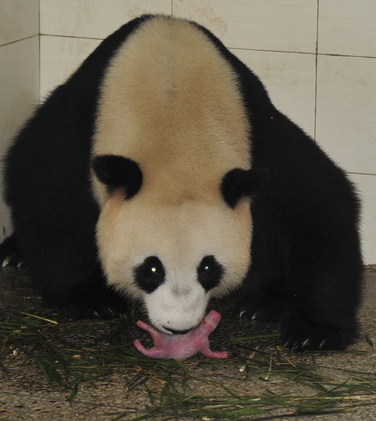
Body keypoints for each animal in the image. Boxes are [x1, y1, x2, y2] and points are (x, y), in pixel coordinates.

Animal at [1, 15, 362, 352]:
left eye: (208, 267)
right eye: (151, 269)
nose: (178, 327)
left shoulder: (259, 135)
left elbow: (319, 205)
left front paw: (314, 331)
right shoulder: (83, 130)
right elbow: (47, 194)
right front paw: (91, 298)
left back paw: (265, 303)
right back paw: (13, 253)